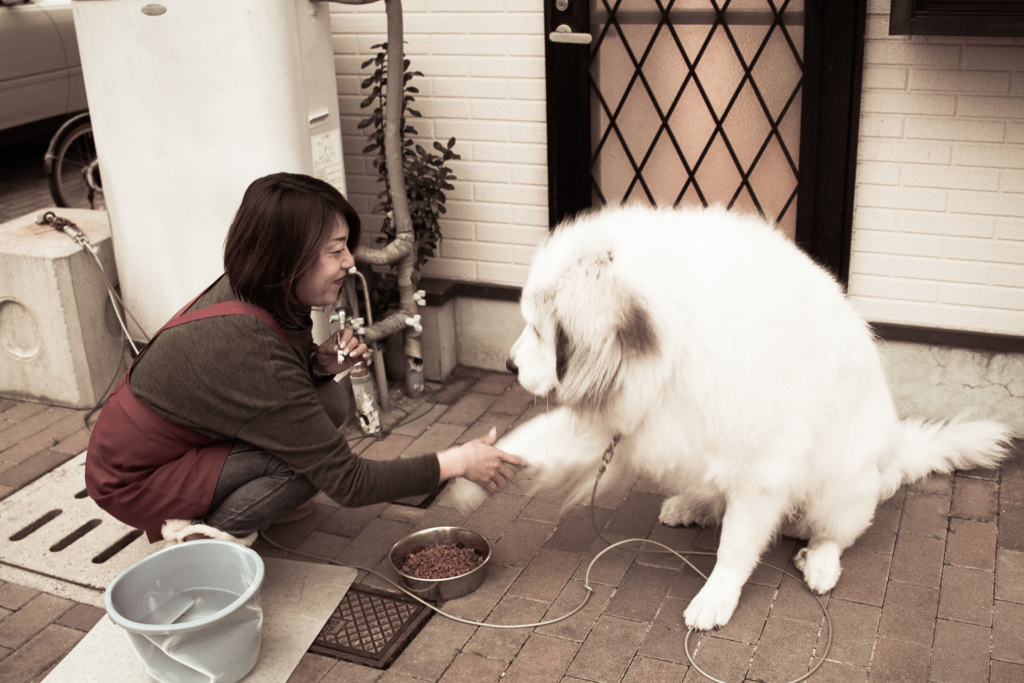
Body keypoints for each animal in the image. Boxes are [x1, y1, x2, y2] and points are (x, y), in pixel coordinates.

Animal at [452, 205, 1011, 634]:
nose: (509, 365)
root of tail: (895, 452)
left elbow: (736, 546)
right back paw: (691, 505)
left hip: (842, 481)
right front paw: (473, 474)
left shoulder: (761, 469)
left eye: (540, 330)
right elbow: (532, 439)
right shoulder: (630, 411)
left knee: (835, 531)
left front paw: (715, 598)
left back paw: (819, 562)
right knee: (714, 494)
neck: (678, 343)